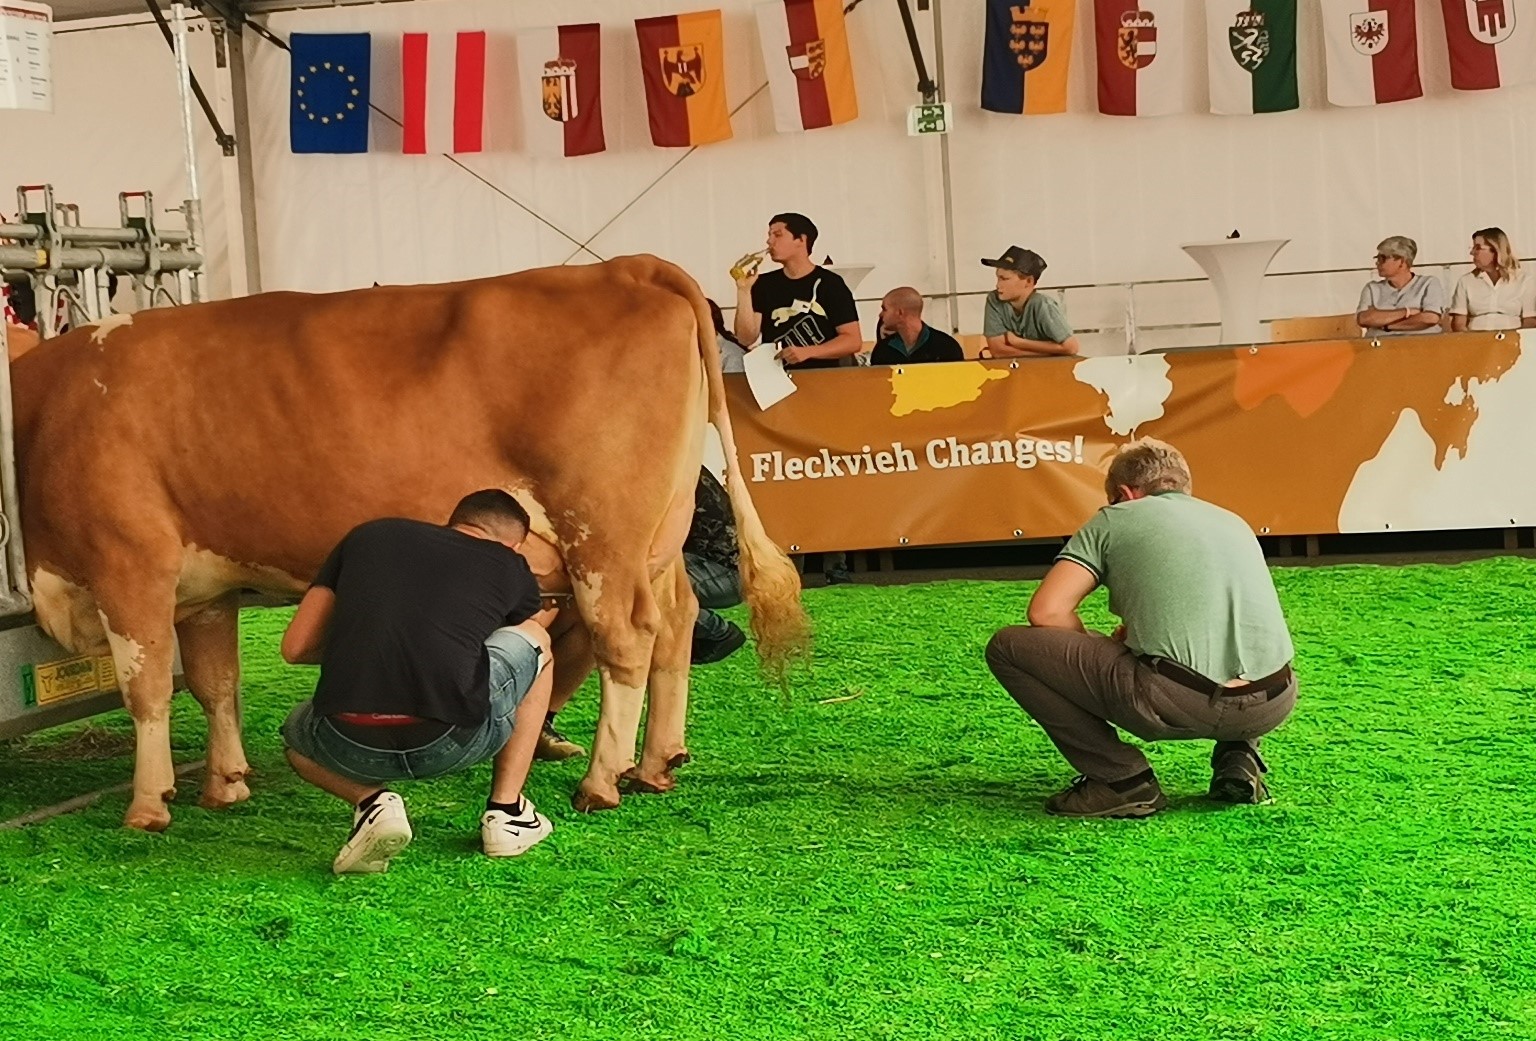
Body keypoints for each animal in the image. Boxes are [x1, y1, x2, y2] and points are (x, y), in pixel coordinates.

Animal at [9, 259, 817, 829]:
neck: (51, 405)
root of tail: (625, 265)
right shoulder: (204, 587)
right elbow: (216, 684)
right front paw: (226, 783)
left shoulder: (129, 562)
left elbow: (145, 687)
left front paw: (148, 803)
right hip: (659, 536)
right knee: (676, 626)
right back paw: (657, 764)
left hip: (603, 536)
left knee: (628, 637)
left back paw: (600, 781)